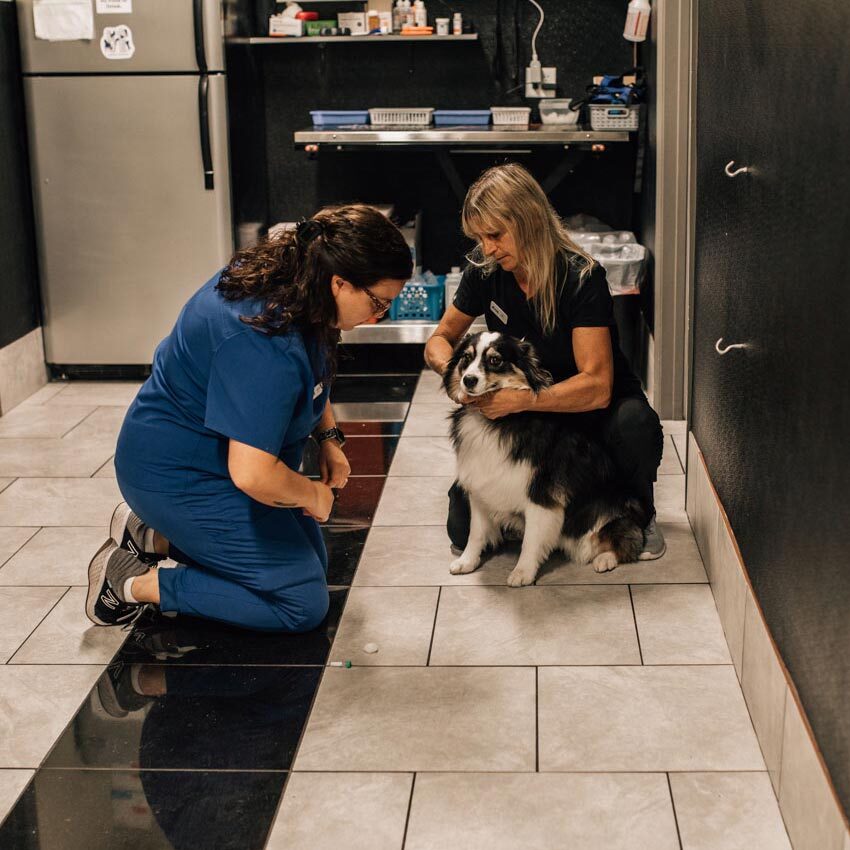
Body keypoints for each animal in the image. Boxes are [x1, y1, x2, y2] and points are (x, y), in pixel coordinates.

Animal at [444, 332, 644, 584]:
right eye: (466, 358)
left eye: (495, 360)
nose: (468, 380)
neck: (498, 423)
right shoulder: (480, 488)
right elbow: (476, 532)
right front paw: (467, 561)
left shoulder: (541, 494)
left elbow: (531, 539)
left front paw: (522, 573)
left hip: (611, 507)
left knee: (624, 540)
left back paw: (605, 559)